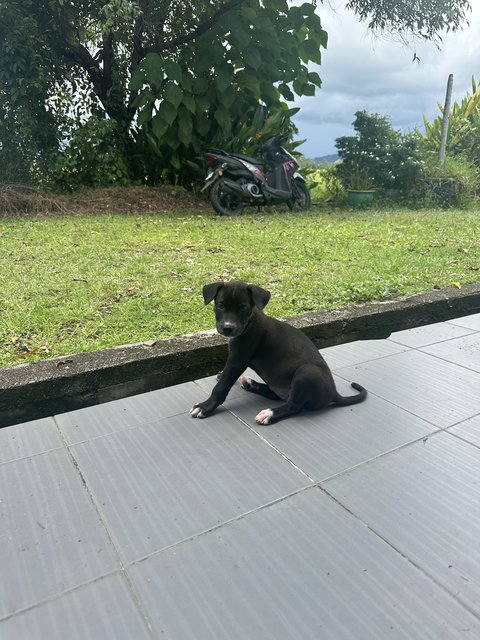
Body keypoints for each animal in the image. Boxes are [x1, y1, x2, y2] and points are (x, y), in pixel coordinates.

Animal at [189, 282, 366, 424]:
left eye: (243, 307)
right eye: (221, 305)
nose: (228, 328)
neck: (250, 320)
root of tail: (334, 393)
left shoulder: (238, 360)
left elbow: (221, 386)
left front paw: (205, 406)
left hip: (307, 371)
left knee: (294, 405)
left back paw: (269, 413)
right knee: (277, 395)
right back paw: (250, 383)